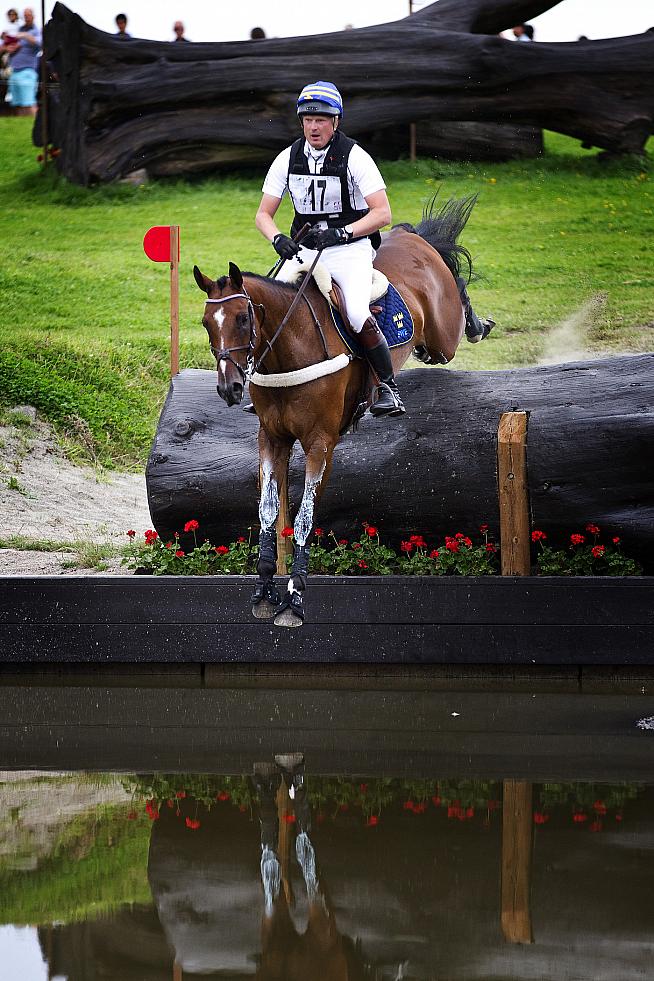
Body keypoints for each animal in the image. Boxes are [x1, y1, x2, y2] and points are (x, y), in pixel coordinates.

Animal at [193, 194, 478, 628]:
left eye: (243, 318)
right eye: (207, 323)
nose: (229, 388)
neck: (288, 350)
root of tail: (410, 238)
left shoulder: (319, 442)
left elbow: (305, 516)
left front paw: (294, 599)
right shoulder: (272, 439)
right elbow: (268, 512)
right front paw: (264, 591)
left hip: (443, 337)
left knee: (457, 304)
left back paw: (477, 324)